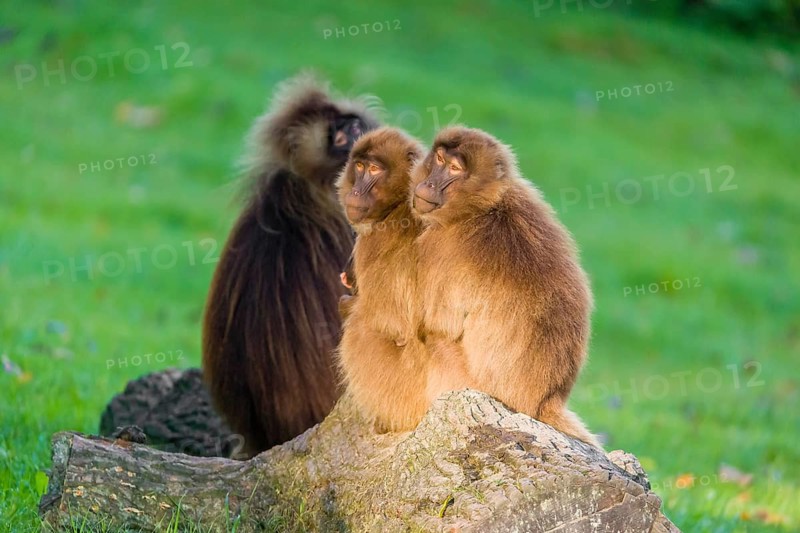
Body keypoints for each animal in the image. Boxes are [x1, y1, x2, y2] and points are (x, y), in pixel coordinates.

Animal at [409, 126, 600, 448]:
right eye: (439, 159)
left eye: (454, 168)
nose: (430, 183)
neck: (484, 206)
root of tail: (544, 401)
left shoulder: (440, 246)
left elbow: (436, 323)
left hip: (461, 380)